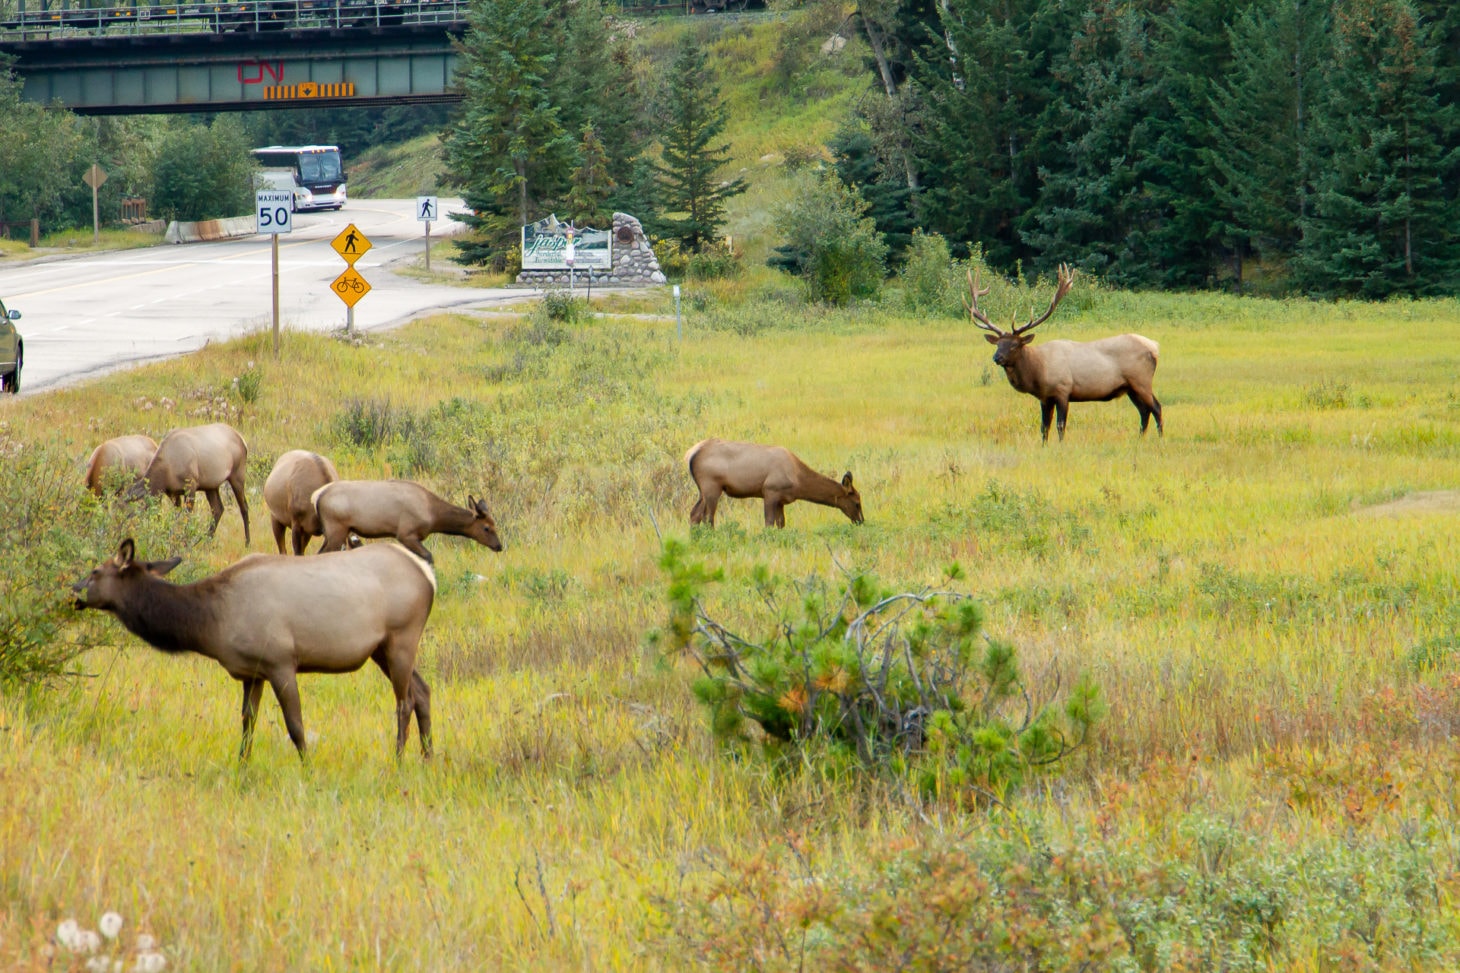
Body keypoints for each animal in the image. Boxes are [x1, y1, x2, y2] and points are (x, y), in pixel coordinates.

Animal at [73, 538, 438, 761]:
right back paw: (428, 758)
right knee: (422, 690)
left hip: (402, 637)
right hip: (381, 649)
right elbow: (248, 724)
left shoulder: (281, 662)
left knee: (404, 701)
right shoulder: (253, 672)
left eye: (94, 571)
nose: (73, 590)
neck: (211, 622)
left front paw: (308, 769)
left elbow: (296, 726)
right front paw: (242, 767)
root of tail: (428, 576)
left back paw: (398, 761)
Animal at [312, 480, 503, 564]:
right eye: (487, 528)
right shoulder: (405, 533)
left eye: (495, 525)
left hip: (332, 532)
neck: (433, 515)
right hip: (336, 530)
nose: (499, 546)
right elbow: (428, 557)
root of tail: (317, 497)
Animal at [685, 438, 863, 528]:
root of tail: (690, 454)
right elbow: (769, 523)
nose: (861, 521)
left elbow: (781, 523)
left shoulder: (781, 500)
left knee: (694, 514)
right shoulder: (770, 491)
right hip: (711, 487)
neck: (798, 482)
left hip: (704, 490)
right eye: (857, 503)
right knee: (707, 517)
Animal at [967, 264, 1162, 442]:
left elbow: (1060, 426)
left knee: (1156, 407)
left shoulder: (1063, 390)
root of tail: (1154, 347)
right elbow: (1044, 427)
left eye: (1015, 345)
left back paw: (1160, 439)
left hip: (1141, 380)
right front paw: (1044, 447)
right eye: (998, 344)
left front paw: (1060, 446)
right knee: (1144, 411)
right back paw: (1140, 439)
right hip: (1130, 387)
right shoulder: (1045, 398)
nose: (997, 357)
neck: (1039, 371)